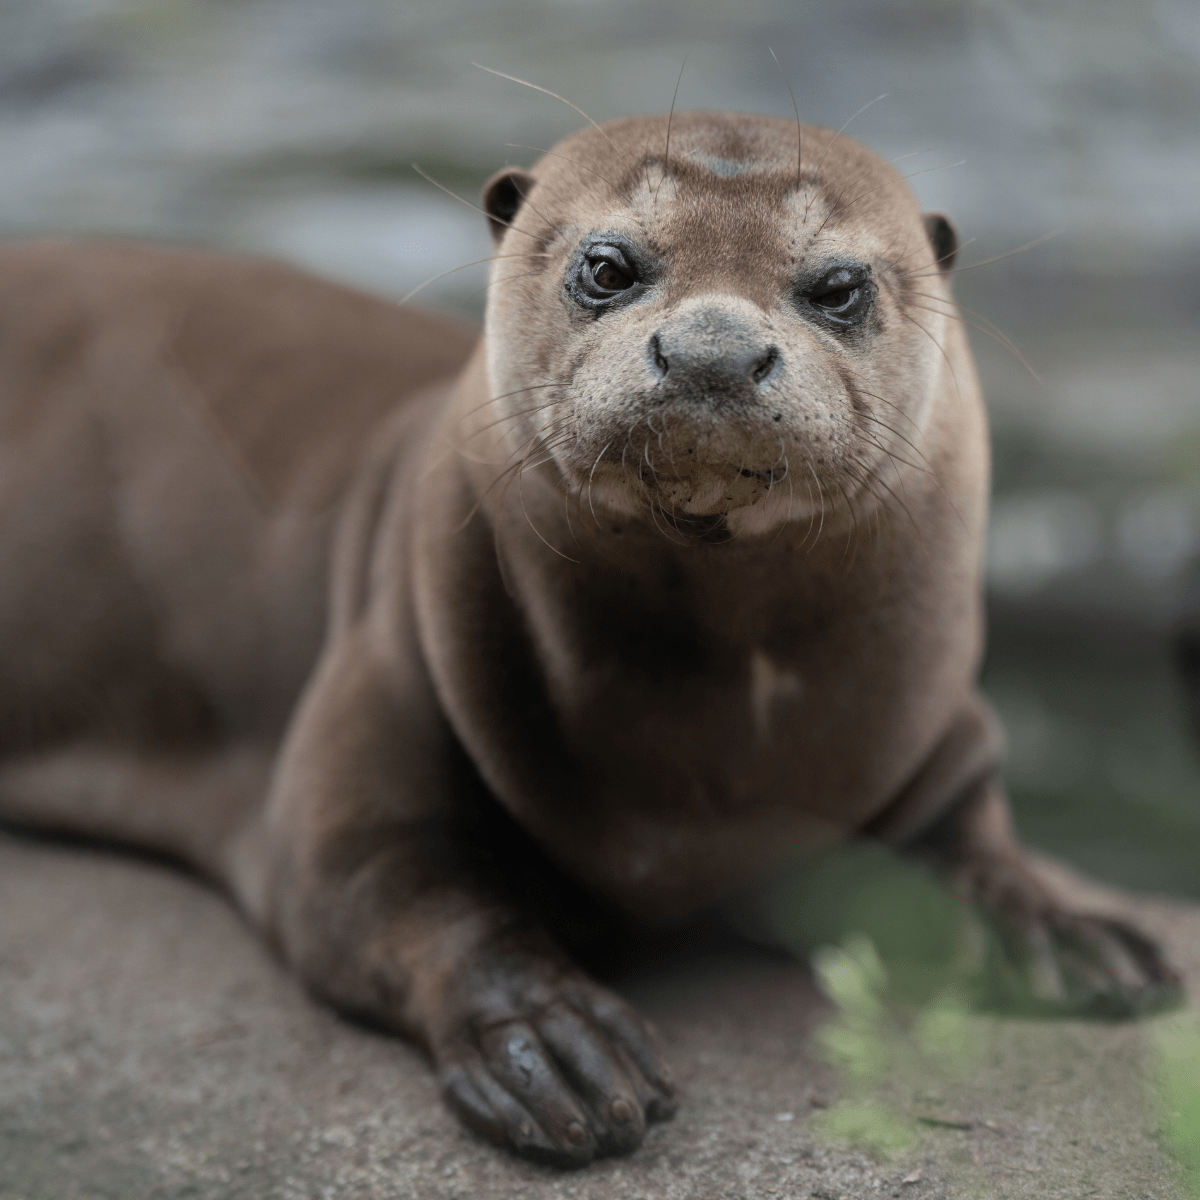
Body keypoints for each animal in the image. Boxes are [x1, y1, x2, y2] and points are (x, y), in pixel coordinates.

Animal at [0, 111, 1177, 1167]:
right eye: (607, 264)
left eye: (838, 286)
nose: (712, 349)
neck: (707, 781)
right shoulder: (385, 673)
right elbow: (389, 884)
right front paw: (550, 1044)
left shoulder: (935, 723)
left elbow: (972, 830)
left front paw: (1069, 932)